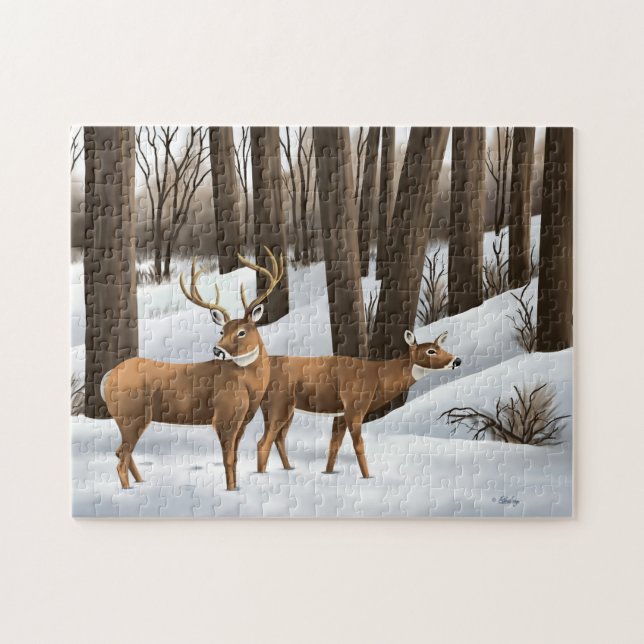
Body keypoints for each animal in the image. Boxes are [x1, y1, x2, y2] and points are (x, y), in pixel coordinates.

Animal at [101, 248, 284, 491]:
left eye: (241, 332)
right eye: (222, 331)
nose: (217, 350)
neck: (247, 384)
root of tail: (107, 377)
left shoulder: (242, 420)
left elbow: (234, 457)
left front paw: (235, 487)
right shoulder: (224, 416)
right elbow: (228, 458)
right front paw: (230, 490)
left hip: (128, 419)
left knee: (121, 452)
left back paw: (141, 483)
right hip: (131, 415)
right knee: (121, 456)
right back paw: (130, 490)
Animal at [253, 329, 461, 479]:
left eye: (440, 347)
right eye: (431, 351)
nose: (457, 360)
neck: (378, 377)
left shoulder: (340, 413)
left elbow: (334, 444)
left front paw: (328, 472)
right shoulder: (355, 406)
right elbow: (358, 444)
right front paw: (368, 477)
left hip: (283, 408)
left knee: (278, 438)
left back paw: (288, 468)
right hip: (279, 403)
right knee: (263, 441)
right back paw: (262, 475)